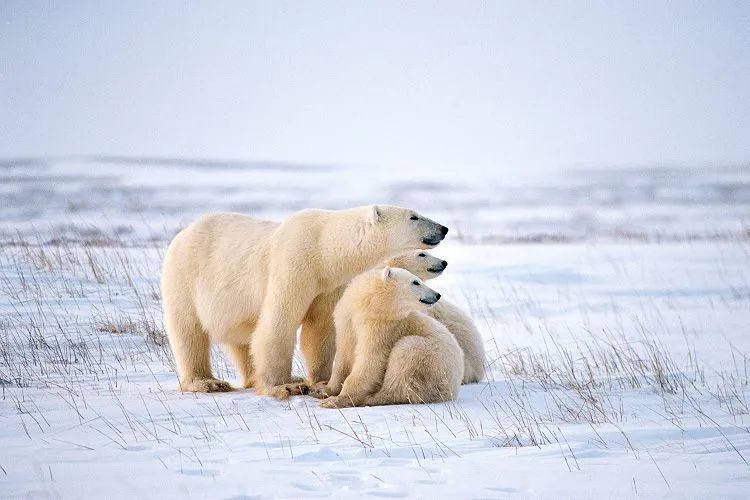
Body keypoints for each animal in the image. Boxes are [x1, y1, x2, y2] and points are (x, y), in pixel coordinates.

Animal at [162, 204, 450, 398]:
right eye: (414, 216)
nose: (444, 228)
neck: (323, 247)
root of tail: (183, 234)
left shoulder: (328, 284)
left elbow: (320, 329)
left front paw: (320, 381)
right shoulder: (294, 263)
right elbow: (279, 322)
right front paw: (286, 385)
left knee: (242, 339)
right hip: (184, 278)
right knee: (188, 332)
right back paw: (207, 382)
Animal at [318, 268, 462, 408]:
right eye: (416, 282)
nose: (437, 295)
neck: (366, 306)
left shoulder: (383, 329)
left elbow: (370, 360)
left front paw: (335, 400)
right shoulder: (346, 322)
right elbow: (344, 356)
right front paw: (323, 390)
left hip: (431, 362)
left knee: (404, 362)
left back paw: (371, 398)